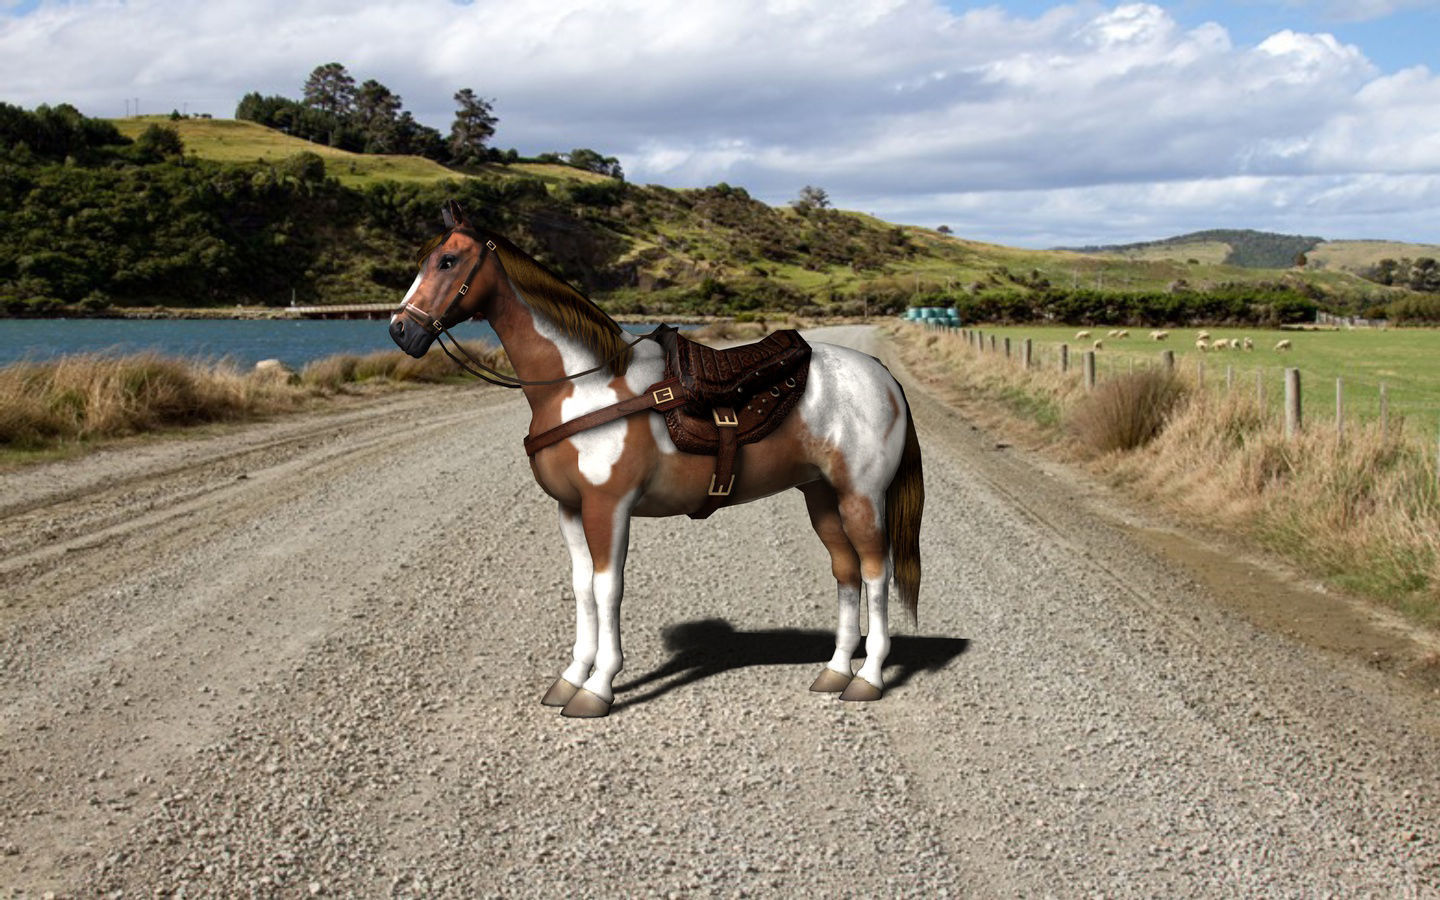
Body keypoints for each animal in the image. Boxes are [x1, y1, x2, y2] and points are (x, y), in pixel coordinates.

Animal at [389, 200, 924, 718]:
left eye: (448, 261)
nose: (399, 331)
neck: (582, 385)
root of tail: (882, 376)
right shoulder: (570, 510)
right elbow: (582, 587)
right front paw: (570, 678)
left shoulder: (609, 508)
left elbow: (608, 588)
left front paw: (597, 688)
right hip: (822, 496)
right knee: (846, 571)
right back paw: (835, 671)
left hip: (861, 497)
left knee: (876, 572)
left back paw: (868, 678)